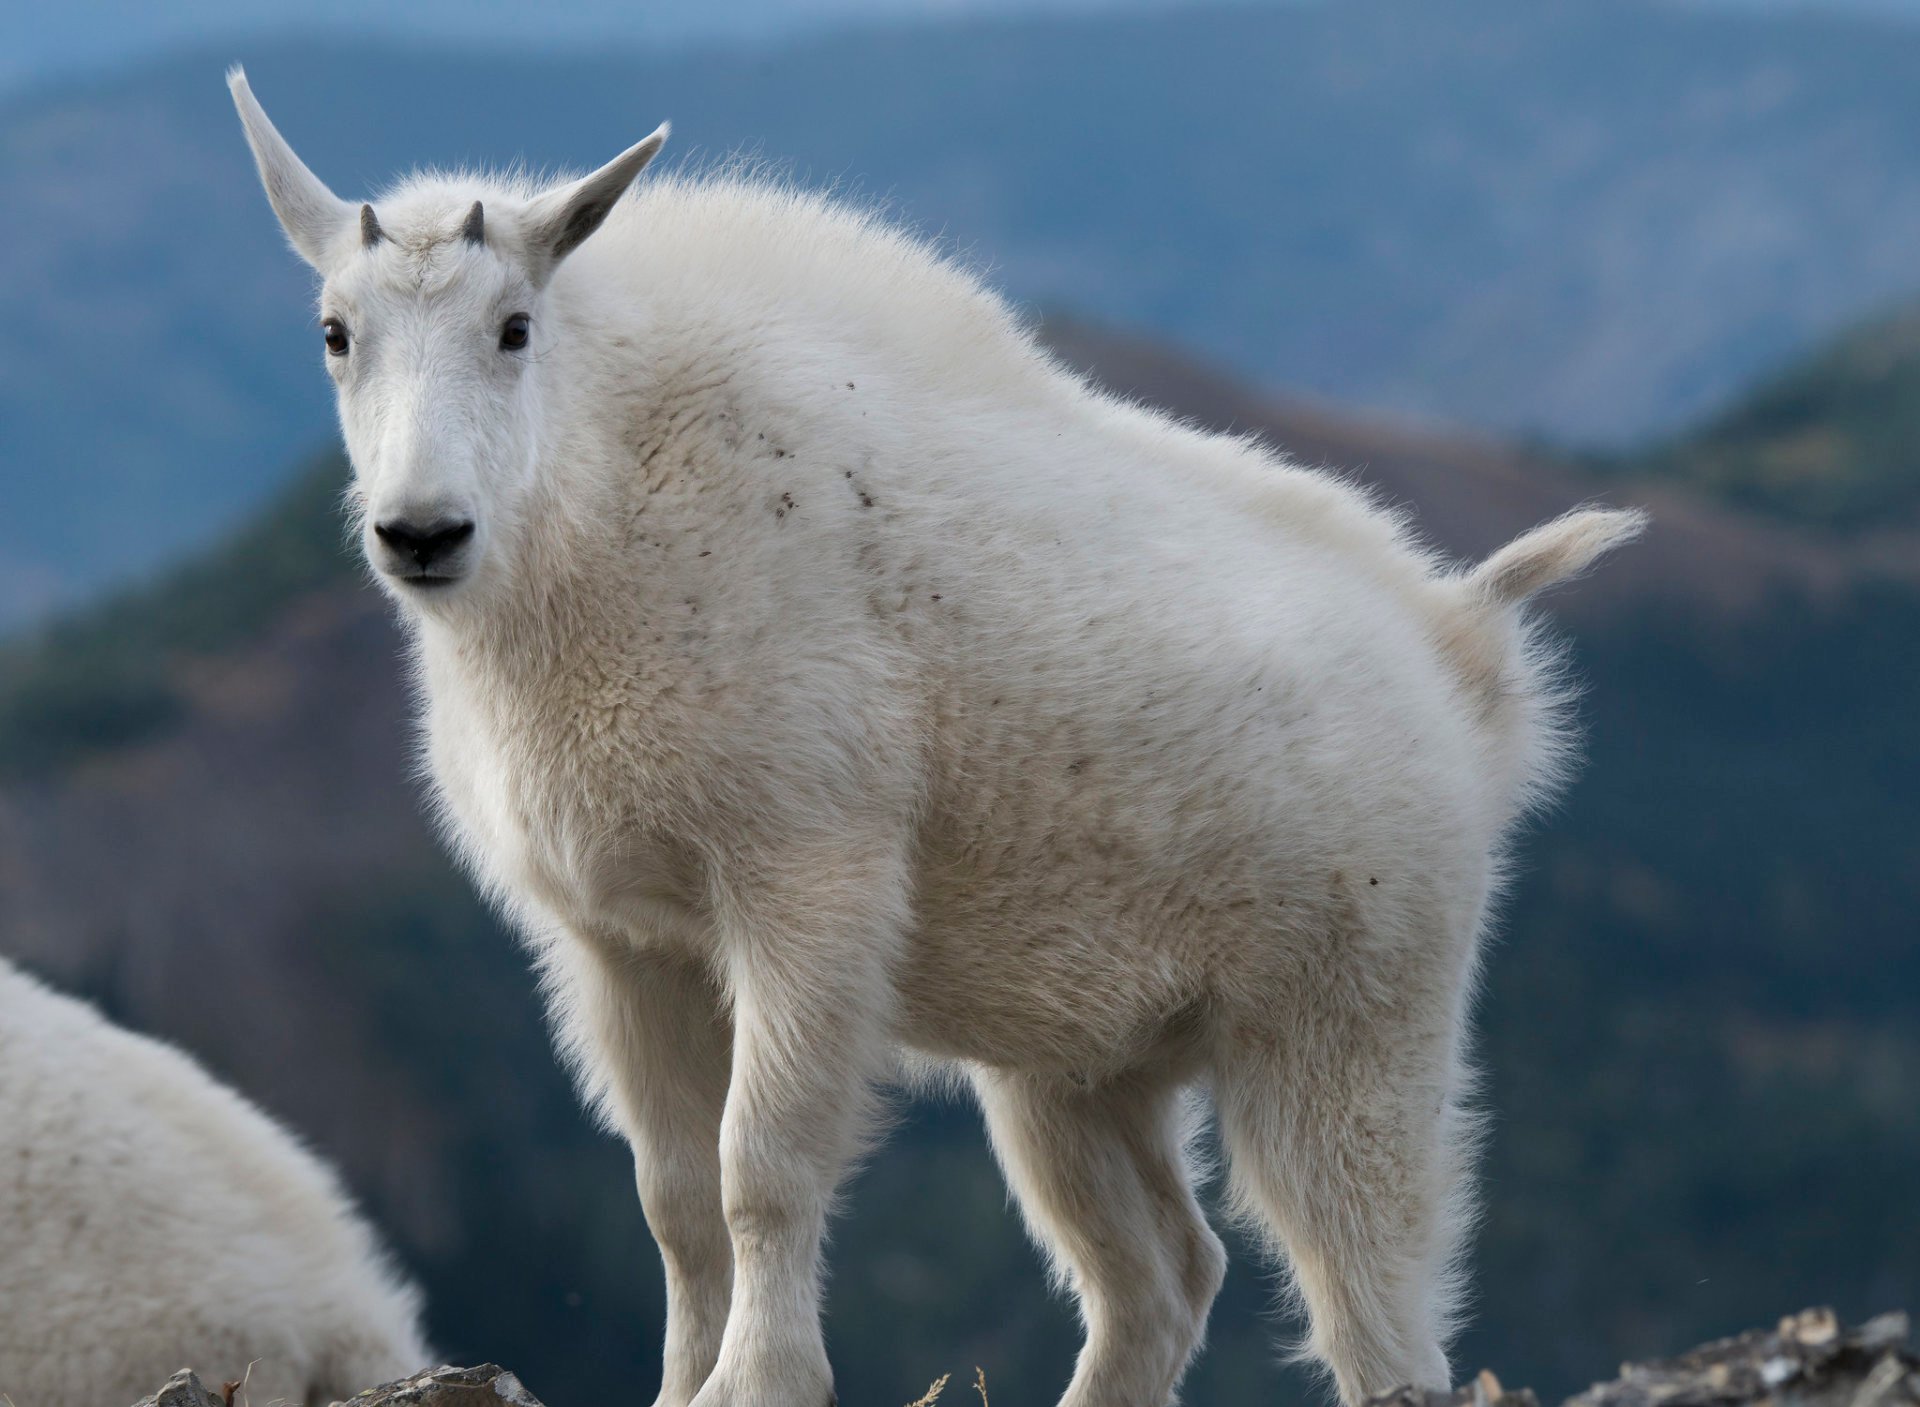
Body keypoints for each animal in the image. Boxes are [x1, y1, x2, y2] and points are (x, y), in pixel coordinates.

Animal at [232, 68, 1643, 1407]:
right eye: (335, 334)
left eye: (515, 328)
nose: (422, 533)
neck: (599, 506)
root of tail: (1462, 656)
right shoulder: (624, 944)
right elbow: (673, 1199)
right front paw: (684, 1385)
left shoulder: (806, 879)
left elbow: (760, 1165)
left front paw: (759, 1384)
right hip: (1075, 1070)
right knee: (1162, 1274)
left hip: (1350, 1020)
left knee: (1371, 1295)